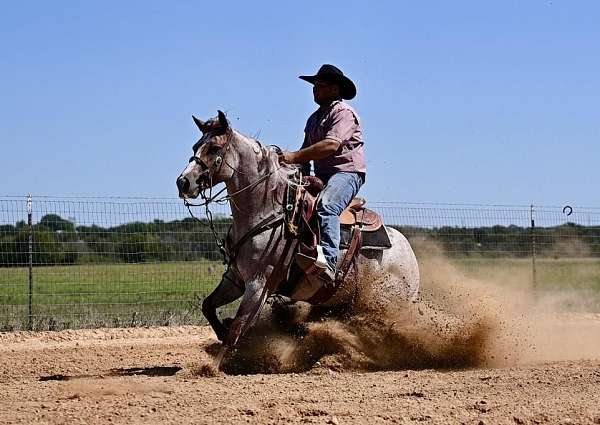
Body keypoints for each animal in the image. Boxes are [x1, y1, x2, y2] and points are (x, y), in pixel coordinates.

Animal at [176, 110, 420, 358]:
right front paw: (222, 330)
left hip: (386, 303)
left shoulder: (259, 283)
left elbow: (237, 329)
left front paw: (217, 360)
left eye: (214, 148)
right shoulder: (235, 278)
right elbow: (209, 306)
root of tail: (409, 254)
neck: (265, 209)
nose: (183, 182)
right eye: (196, 146)